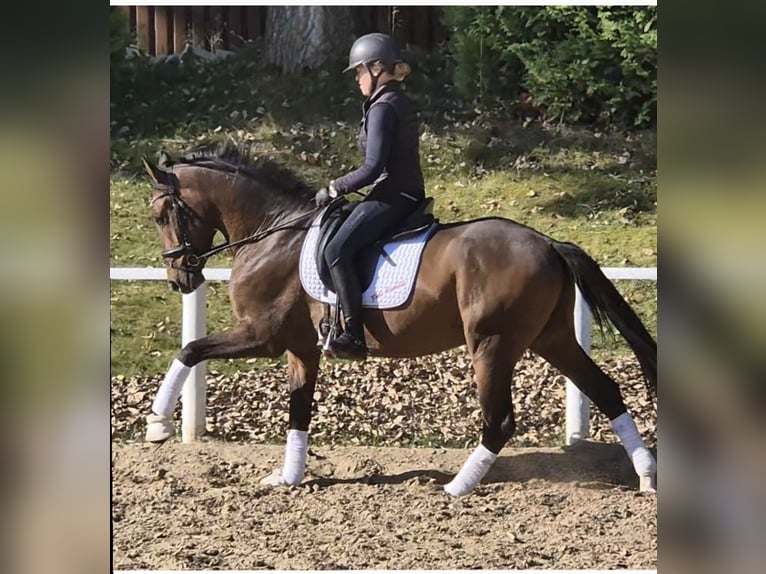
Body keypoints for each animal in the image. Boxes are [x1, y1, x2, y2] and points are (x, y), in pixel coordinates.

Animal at [141, 146, 656, 498]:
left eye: (163, 213)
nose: (180, 279)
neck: (273, 233)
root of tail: (549, 242)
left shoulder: (260, 336)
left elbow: (189, 350)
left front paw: (158, 424)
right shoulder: (300, 348)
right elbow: (299, 410)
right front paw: (288, 476)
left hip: (492, 344)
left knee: (500, 420)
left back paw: (458, 486)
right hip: (551, 338)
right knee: (605, 390)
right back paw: (647, 474)